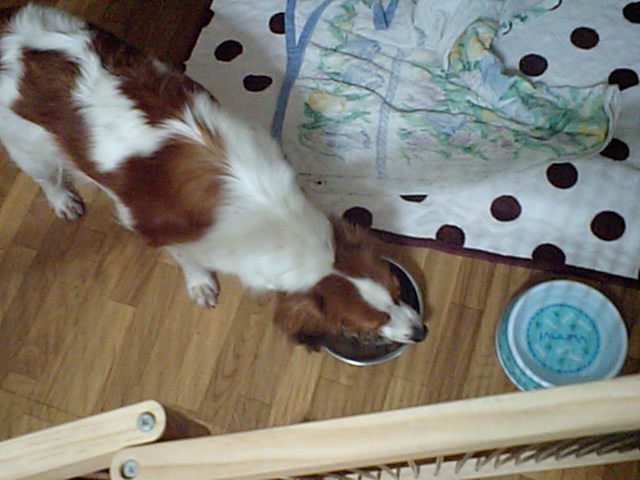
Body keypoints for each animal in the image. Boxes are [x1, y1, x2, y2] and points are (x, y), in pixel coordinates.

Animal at [0, 4, 426, 349]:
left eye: (397, 291)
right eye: (373, 321)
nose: (421, 331)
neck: (277, 219)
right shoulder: (163, 232)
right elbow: (188, 259)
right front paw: (200, 283)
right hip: (28, 146)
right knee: (46, 177)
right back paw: (63, 200)